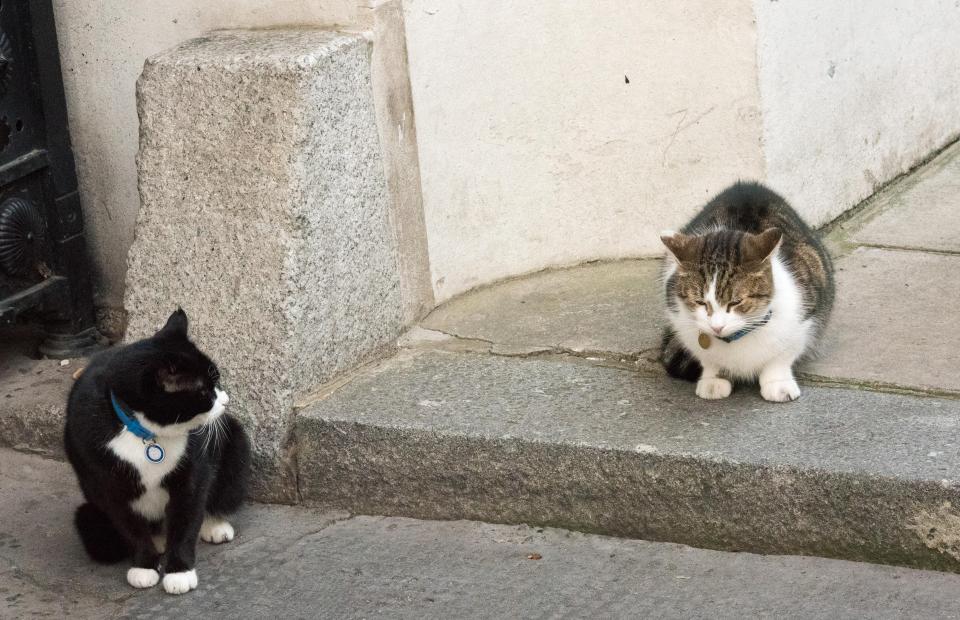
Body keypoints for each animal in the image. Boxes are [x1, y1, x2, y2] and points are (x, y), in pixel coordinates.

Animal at [63, 310, 249, 596]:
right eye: (205, 391)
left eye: (216, 381)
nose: (226, 401)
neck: (145, 433)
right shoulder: (106, 483)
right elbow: (129, 525)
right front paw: (144, 566)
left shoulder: (192, 471)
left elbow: (187, 515)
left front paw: (179, 571)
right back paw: (159, 540)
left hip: (235, 444)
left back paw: (214, 525)